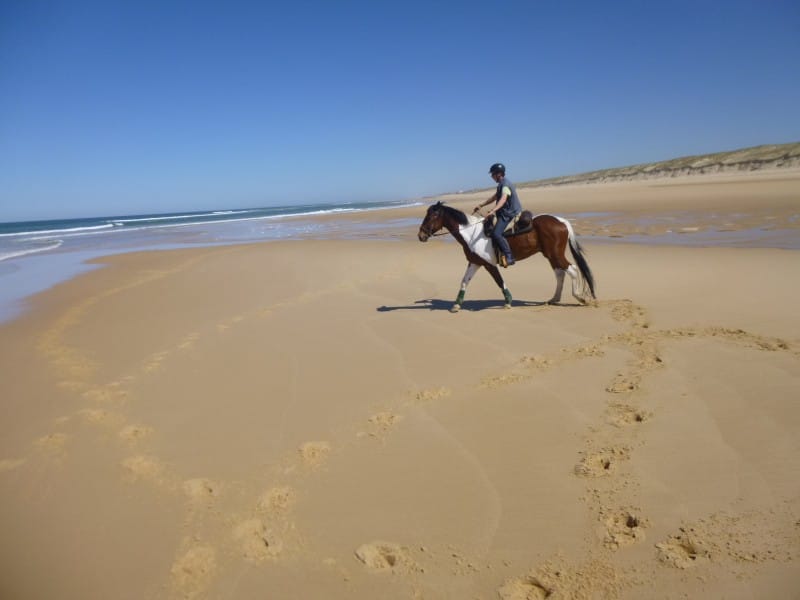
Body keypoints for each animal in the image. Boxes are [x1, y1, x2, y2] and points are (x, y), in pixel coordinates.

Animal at [418, 202, 592, 314]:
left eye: (432, 215)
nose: (421, 235)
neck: (471, 234)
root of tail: (561, 221)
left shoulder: (489, 264)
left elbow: (499, 281)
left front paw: (508, 301)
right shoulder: (475, 262)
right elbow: (464, 281)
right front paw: (456, 305)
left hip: (555, 254)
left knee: (572, 270)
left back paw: (580, 298)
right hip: (550, 255)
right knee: (560, 273)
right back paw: (555, 298)